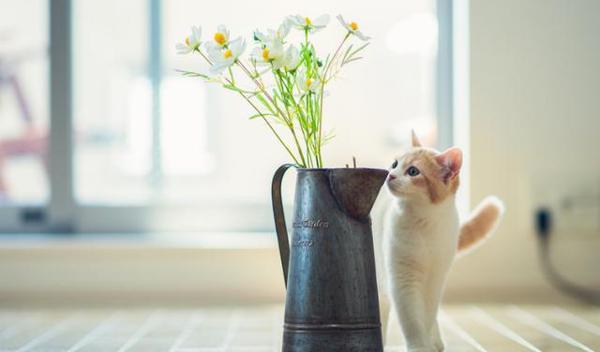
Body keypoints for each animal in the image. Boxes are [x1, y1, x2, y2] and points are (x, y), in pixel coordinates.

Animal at [372, 132, 504, 352]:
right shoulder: (403, 280)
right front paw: (419, 346)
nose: (390, 175)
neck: (423, 224)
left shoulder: (436, 278)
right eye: (394, 164)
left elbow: (426, 315)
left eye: (413, 171)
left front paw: (426, 342)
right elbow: (412, 318)